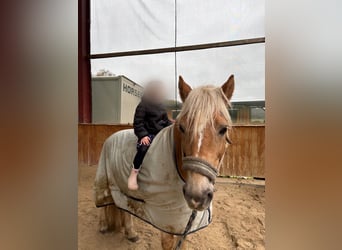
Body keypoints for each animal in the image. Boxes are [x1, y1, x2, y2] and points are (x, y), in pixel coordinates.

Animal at [95, 74, 235, 250]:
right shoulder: (167, 221)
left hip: (122, 188)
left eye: (223, 129)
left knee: (125, 208)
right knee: (104, 203)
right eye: (182, 128)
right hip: (104, 179)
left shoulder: (185, 223)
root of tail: (111, 137)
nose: (197, 195)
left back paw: (131, 234)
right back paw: (103, 226)